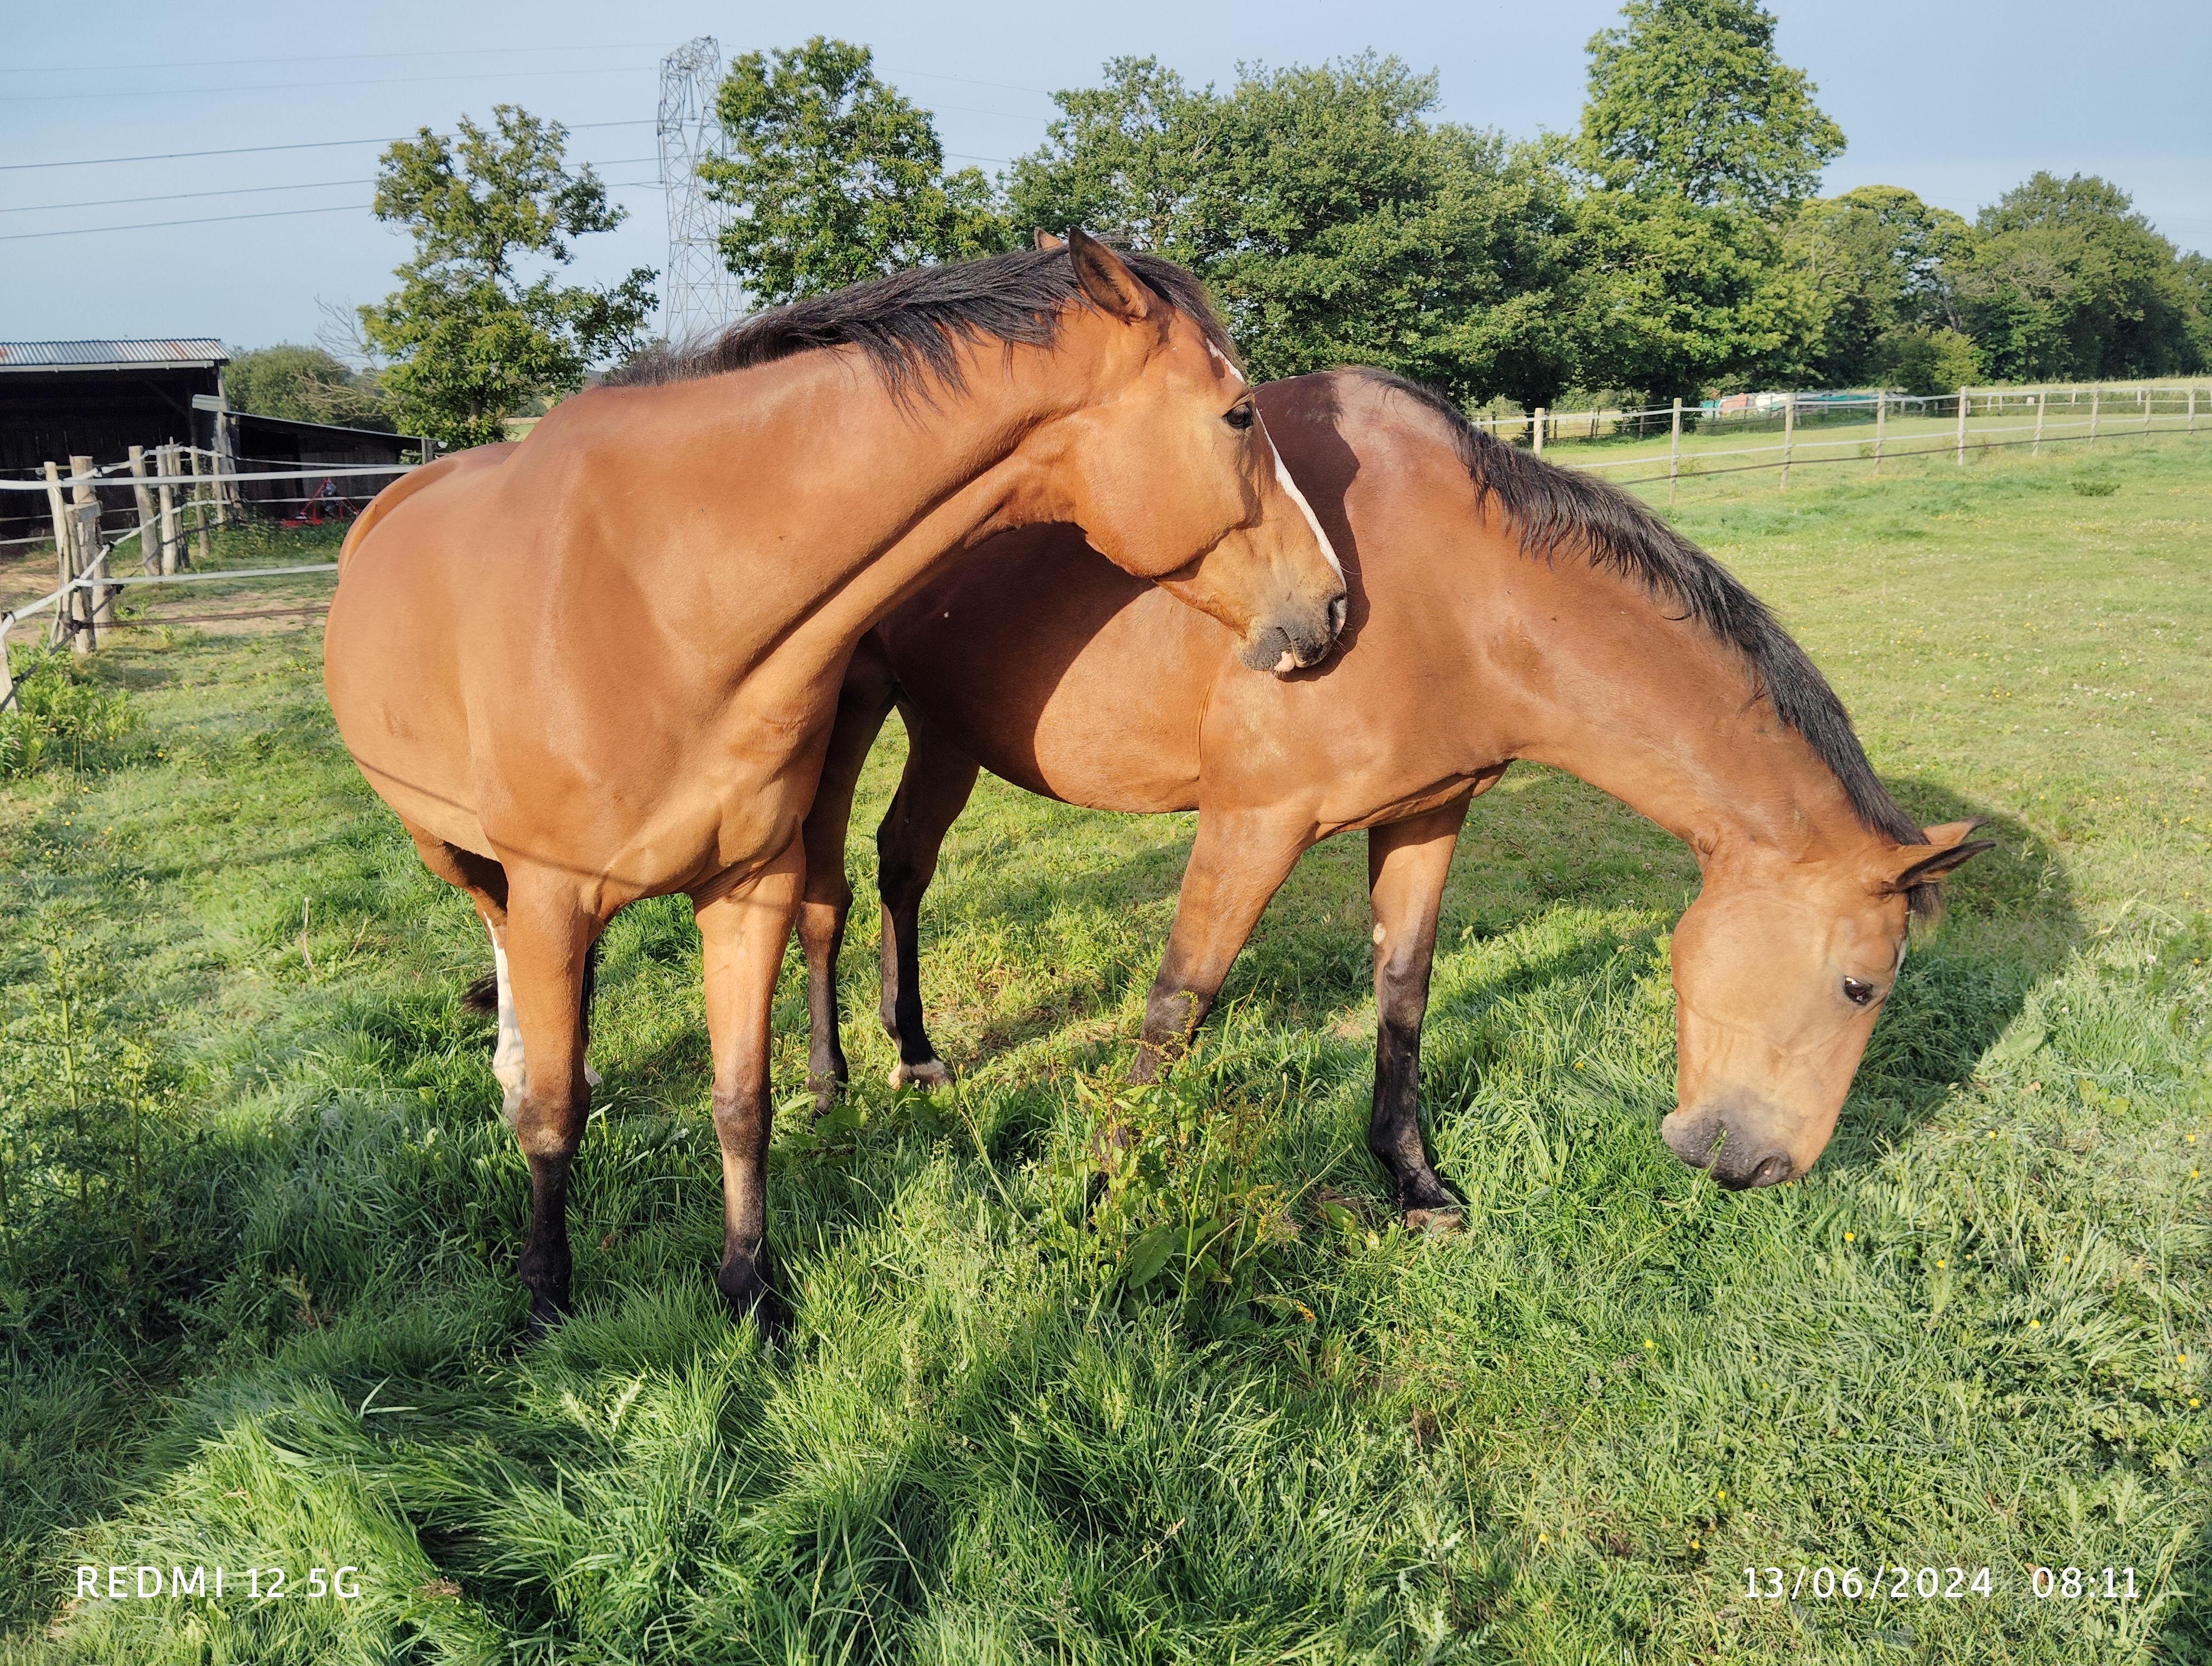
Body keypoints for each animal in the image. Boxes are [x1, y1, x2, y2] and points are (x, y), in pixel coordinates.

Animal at [323, 236, 1347, 1329]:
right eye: (1241, 412)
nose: (1332, 604)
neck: (662, 597)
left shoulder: (747, 887)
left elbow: (741, 1100)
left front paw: (752, 1290)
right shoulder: (555, 893)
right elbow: (557, 1114)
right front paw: (548, 1296)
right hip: (446, 845)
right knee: (498, 933)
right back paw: (518, 1062)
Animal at [797, 367, 1991, 1217]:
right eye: (1862, 987)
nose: (1768, 1168)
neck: (1451, 590)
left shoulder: (1429, 812)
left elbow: (1404, 989)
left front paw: (1410, 1177)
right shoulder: (1252, 822)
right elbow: (1181, 1001)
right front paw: (1099, 1191)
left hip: (946, 725)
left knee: (904, 865)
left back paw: (914, 1051)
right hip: (845, 715)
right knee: (823, 895)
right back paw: (830, 1077)